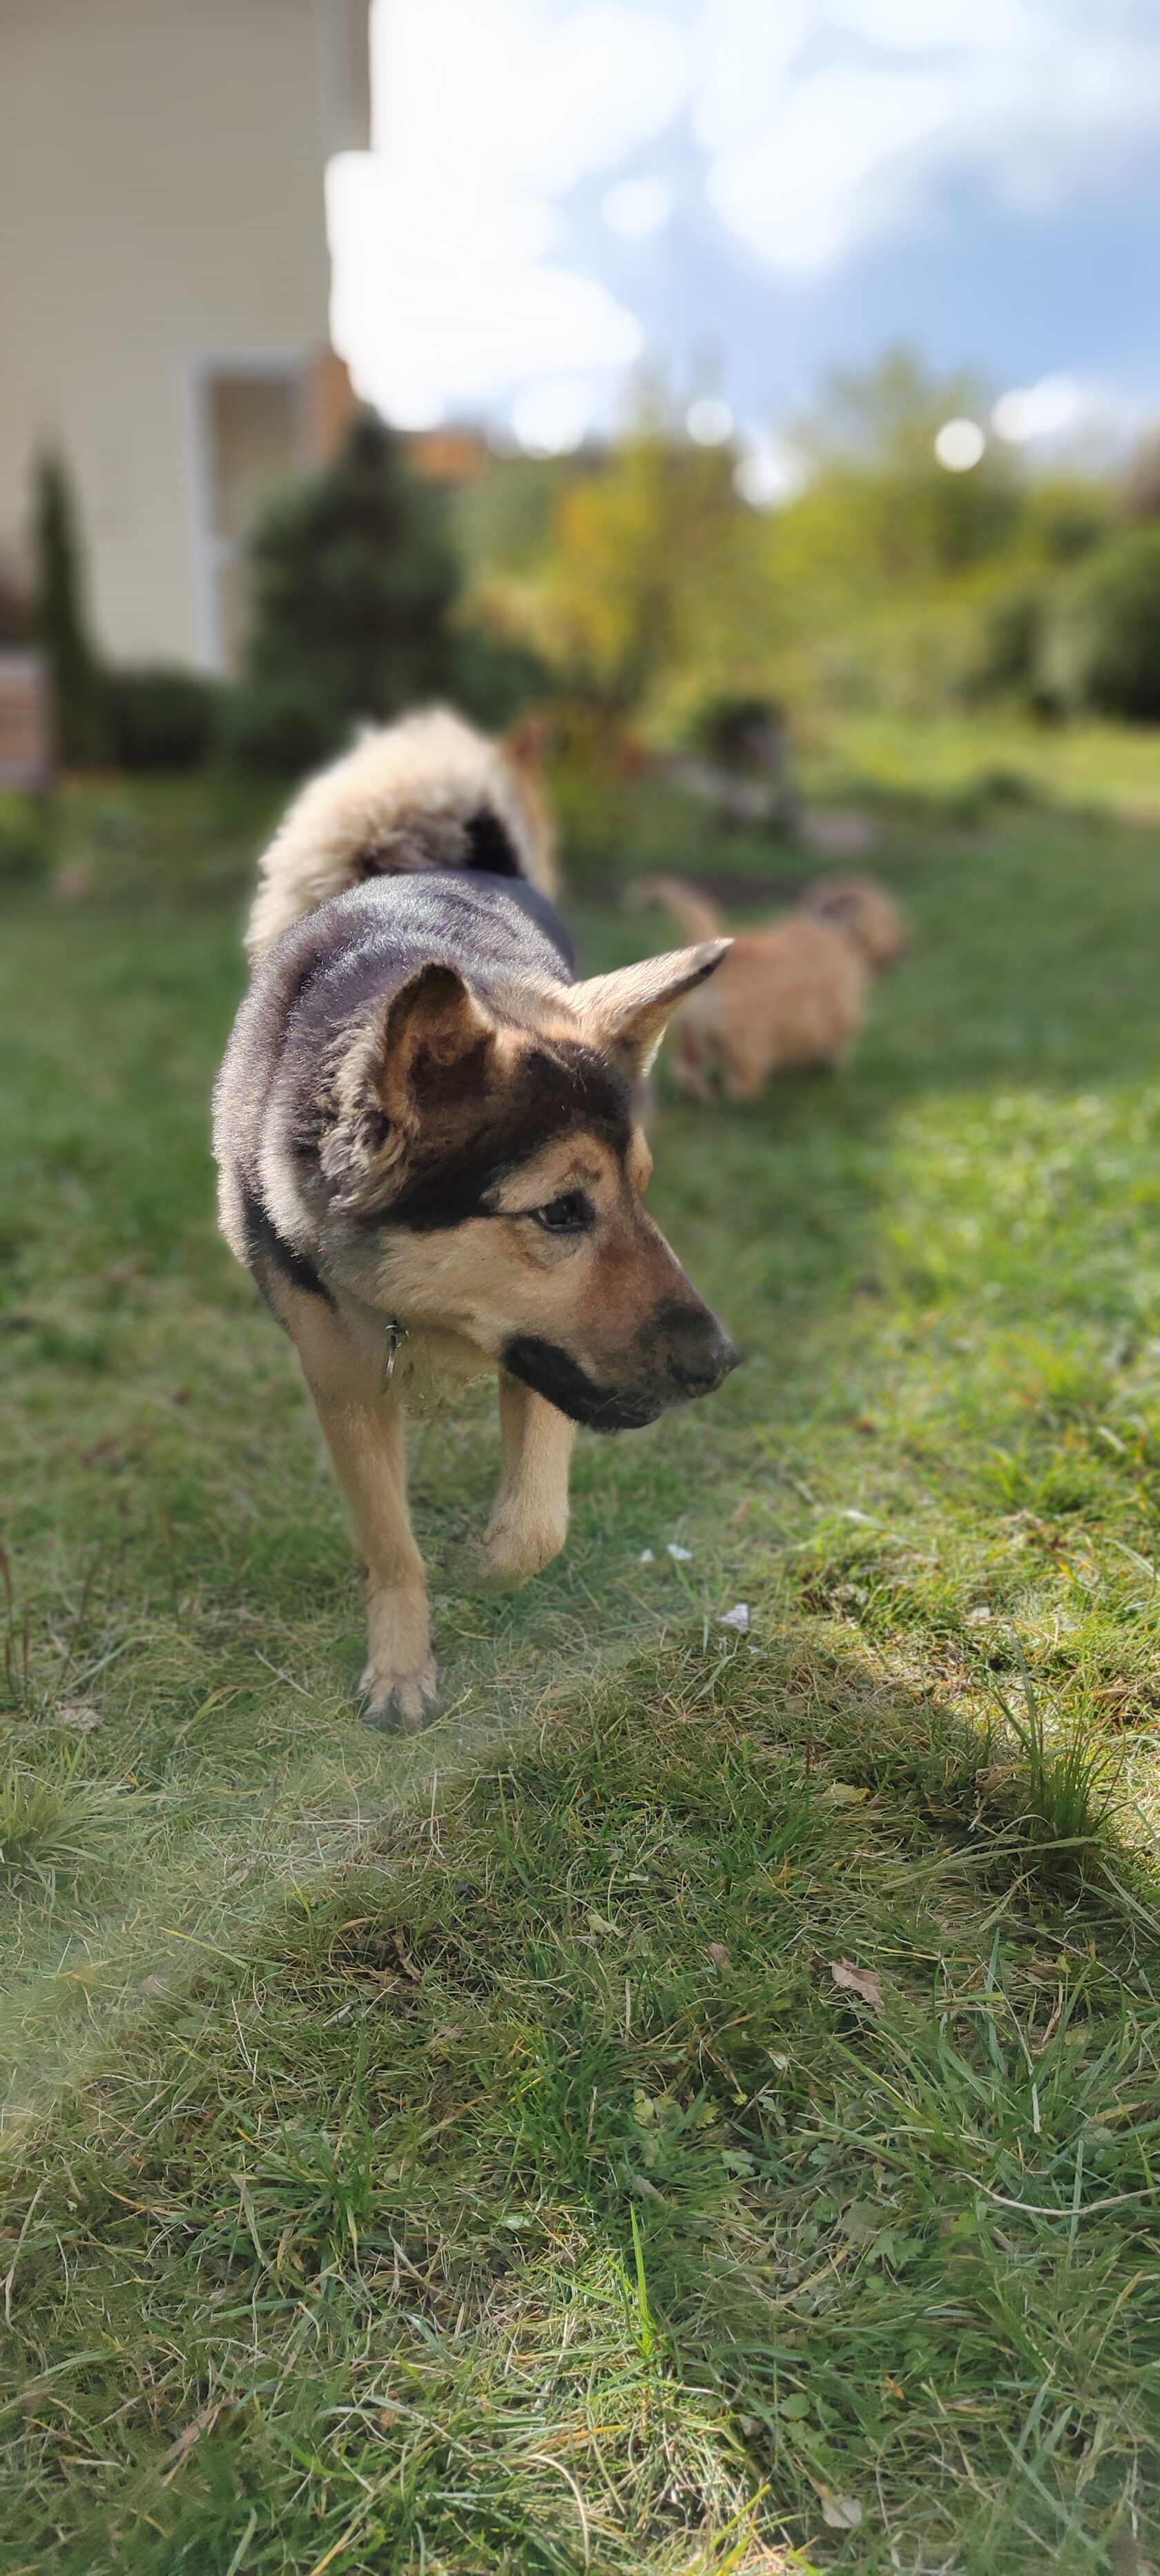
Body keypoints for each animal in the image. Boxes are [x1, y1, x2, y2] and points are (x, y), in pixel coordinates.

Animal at [213, 706, 737, 1731]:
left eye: (641, 1191)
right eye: (562, 1210)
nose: (721, 1363)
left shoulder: (546, 1358)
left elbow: (535, 1527)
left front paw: (484, 1561)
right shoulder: (343, 1380)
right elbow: (390, 1544)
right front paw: (401, 1664)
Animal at [634, 875, 907, 1097]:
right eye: (890, 917)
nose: (908, 943)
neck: (833, 928)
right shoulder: (840, 1015)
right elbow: (840, 1051)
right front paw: (837, 1074)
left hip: (690, 1035)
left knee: (689, 1072)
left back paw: (704, 1099)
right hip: (747, 1042)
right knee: (738, 1083)